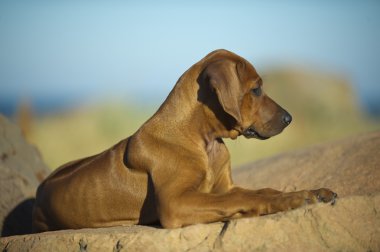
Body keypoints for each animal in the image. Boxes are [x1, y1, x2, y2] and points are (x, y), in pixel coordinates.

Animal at [31, 49, 336, 232]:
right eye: (257, 89)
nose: (289, 118)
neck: (204, 139)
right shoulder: (175, 203)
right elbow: (241, 196)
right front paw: (295, 198)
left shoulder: (224, 186)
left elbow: (262, 190)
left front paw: (313, 191)